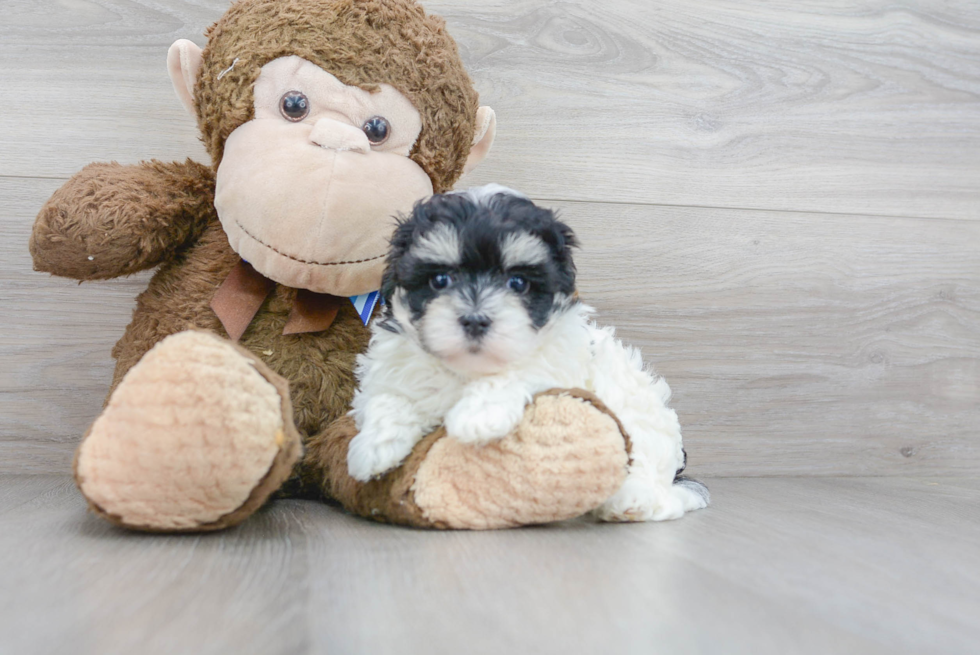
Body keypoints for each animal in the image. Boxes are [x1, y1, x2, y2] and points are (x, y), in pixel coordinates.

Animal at [348, 184, 708, 524]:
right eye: (440, 280)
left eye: (518, 283)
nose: (475, 320)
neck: (469, 370)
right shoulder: (392, 367)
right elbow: (387, 397)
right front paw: (373, 447)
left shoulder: (560, 358)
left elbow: (522, 369)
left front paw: (478, 415)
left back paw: (632, 500)